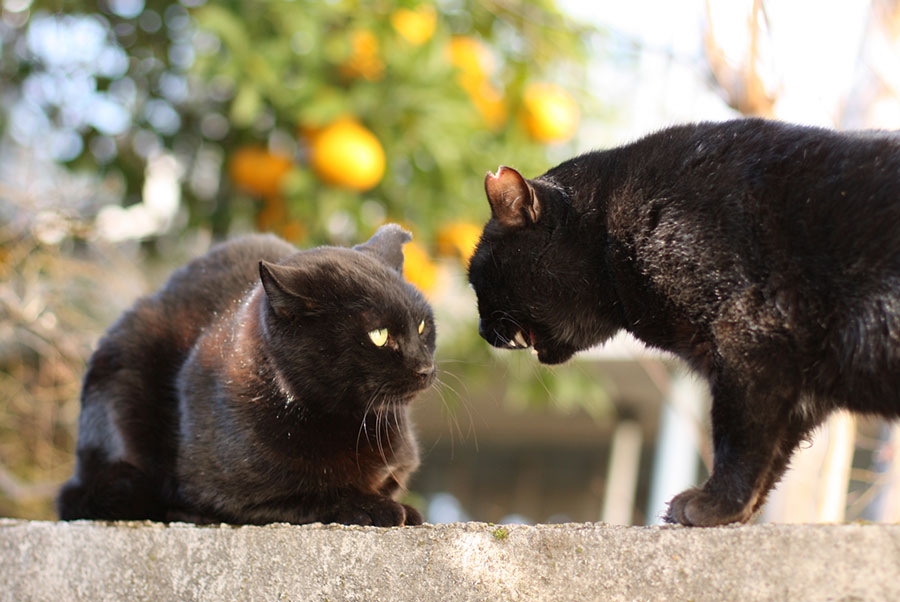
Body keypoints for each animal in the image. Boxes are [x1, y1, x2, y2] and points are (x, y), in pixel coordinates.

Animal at [57, 223, 436, 524]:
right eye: (379, 335)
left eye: (421, 326)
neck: (351, 424)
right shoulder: (235, 494)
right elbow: (314, 495)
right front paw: (376, 508)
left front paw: (398, 506)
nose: (426, 368)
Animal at [468, 117, 900, 524]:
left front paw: (714, 506)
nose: (483, 331)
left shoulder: (746, 339)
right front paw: (736, 514)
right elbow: (774, 456)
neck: (611, 226)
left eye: (478, 280)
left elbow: (741, 438)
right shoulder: (797, 387)